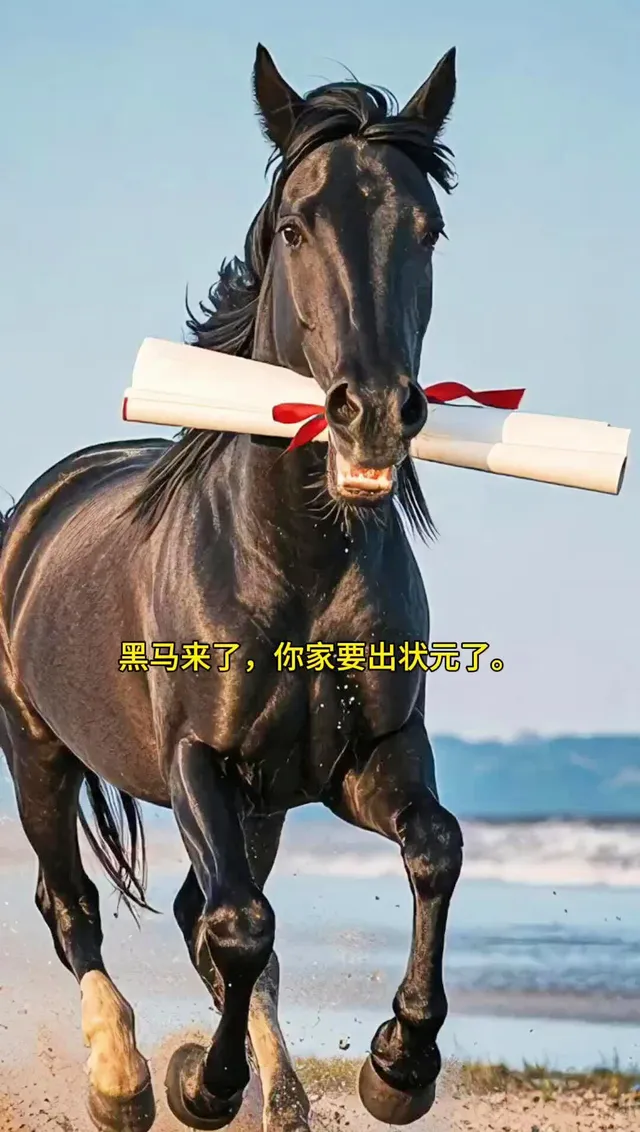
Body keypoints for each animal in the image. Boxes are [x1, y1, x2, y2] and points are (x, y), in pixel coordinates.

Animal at [0, 43, 463, 1132]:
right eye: (295, 227)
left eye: (427, 229)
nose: (372, 411)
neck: (293, 564)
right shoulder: (196, 762)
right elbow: (241, 924)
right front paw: (200, 1086)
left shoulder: (367, 758)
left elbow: (434, 849)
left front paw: (398, 1065)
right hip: (36, 751)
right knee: (74, 905)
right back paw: (124, 1080)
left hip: (263, 804)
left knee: (197, 916)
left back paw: (283, 1094)